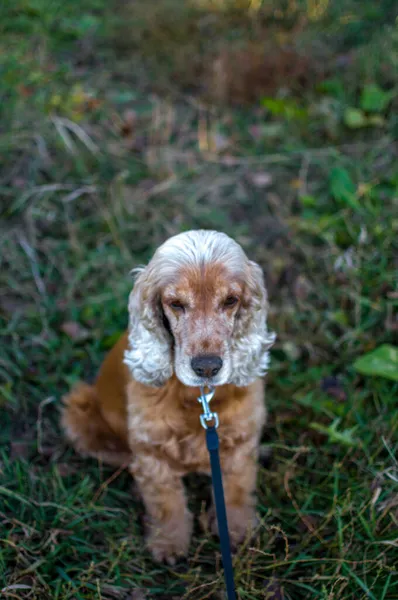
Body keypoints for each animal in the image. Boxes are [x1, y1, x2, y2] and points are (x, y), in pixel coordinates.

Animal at [62, 229, 276, 564]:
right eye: (175, 304)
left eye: (231, 300)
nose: (207, 367)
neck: (198, 397)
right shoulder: (151, 447)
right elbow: (165, 501)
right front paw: (169, 544)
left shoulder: (241, 437)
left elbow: (237, 487)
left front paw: (236, 530)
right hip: (79, 411)